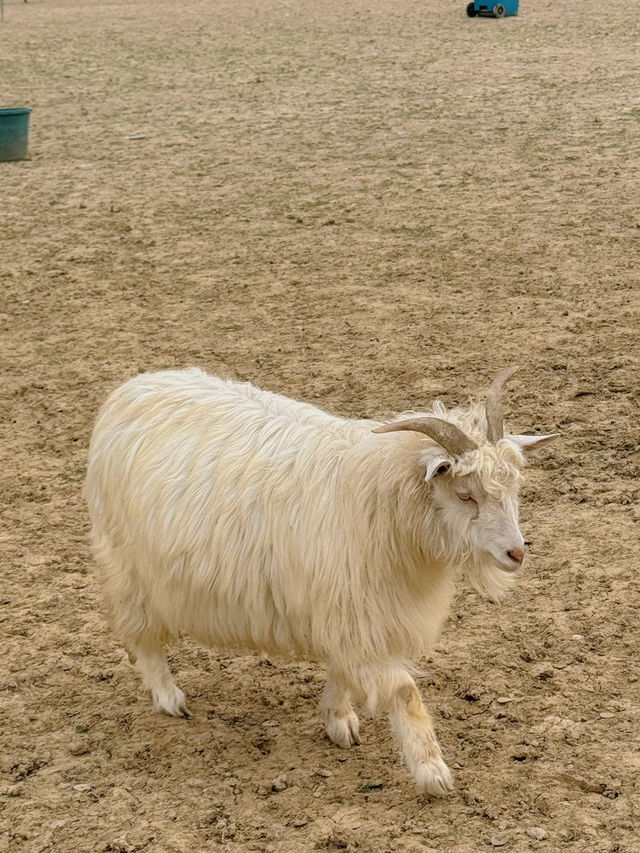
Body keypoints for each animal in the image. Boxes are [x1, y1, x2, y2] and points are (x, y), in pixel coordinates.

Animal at [85, 364, 556, 792]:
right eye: (465, 495)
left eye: (513, 489)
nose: (516, 553)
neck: (383, 504)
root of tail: (133, 387)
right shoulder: (355, 613)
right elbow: (404, 690)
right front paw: (432, 772)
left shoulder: (346, 613)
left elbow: (342, 670)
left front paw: (338, 721)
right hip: (128, 567)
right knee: (142, 637)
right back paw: (169, 698)